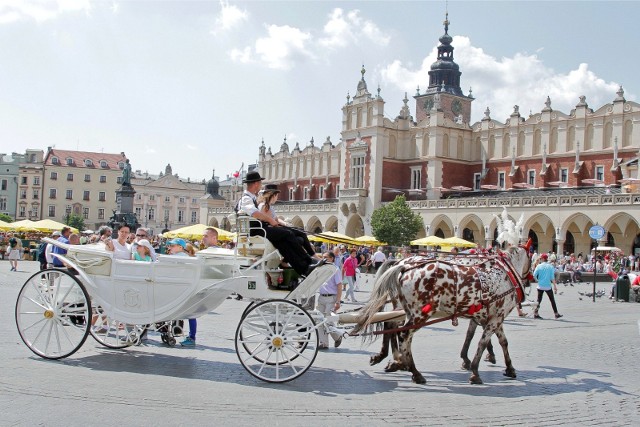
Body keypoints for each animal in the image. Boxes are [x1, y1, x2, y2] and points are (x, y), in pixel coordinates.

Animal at [352, 242, 532, 386]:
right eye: (531, 257)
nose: (531, 280)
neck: (504, 274)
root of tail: (403, 265)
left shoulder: (491, 317)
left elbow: (499, 341)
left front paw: (509, 368)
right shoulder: (495, 318)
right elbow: (483, 342)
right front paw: (475, 370)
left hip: (405, 309)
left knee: (392, 326)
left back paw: (392, 360)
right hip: (420, 313)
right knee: (404, 335)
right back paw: (412, 370)